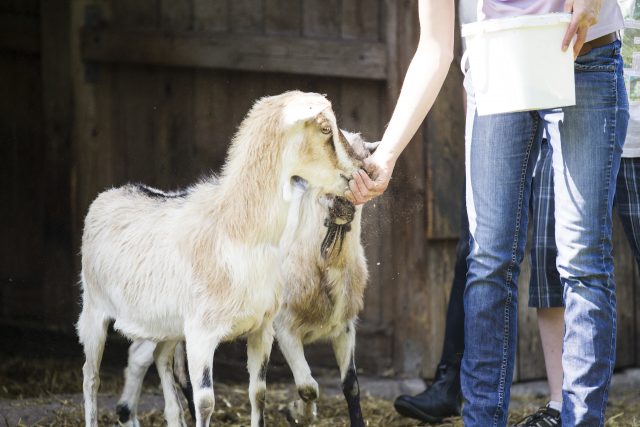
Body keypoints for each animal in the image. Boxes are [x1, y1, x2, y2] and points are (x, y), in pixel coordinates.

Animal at [75, 91, 362, 427]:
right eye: (325, 129)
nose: (359, 169)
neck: (236, 230)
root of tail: (112, 192)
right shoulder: (202, 334)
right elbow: (205, 402)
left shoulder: (262, 328)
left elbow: (258, 393)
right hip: (94, 309)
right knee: (90, 377)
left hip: (167, 326)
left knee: (160, 361)